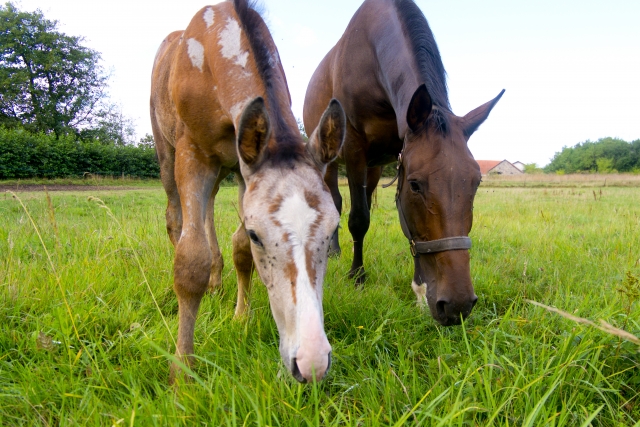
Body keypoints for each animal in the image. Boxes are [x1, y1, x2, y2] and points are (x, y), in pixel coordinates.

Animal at [150, 0, 346, 383]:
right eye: (259, 235)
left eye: (333, 230)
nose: (311, 363)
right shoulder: (192, 152)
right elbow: (191, 260)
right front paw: (182, 370)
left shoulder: (243, 170)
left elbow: (239, 249)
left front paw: (241, 317)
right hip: (167, 154)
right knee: (175, 219)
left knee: (209, 208)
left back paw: (216, 282)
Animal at [303, 0, 503, 326]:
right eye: (415, 185)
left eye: (476, 183)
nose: (458, 304)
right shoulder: (355, 147)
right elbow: (359, 218)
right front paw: (357, 276)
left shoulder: (396, 149)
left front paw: (420, 287)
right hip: (331, 160)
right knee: (334, 201)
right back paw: (332, 252)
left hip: (373, 166)